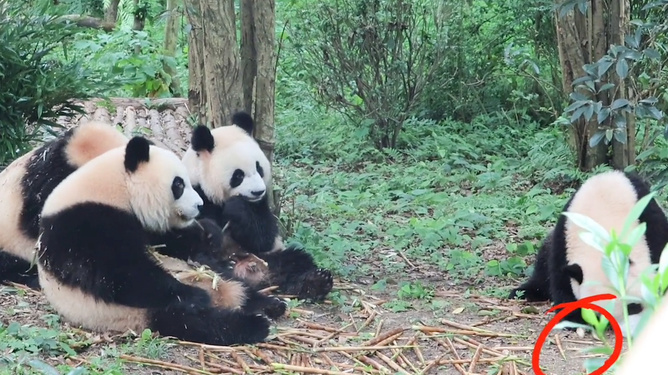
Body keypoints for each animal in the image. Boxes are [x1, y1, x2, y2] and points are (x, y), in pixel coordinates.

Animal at [36, 137, 282, 346]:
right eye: (179, 185)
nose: (200, 205)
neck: (115, 186)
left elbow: (172, 242)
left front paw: (209, 233)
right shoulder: (84, 223)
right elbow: (121, 273)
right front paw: (193, 295)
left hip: (213, 277)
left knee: (235, 284)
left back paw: (270, 304)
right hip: (133, 313)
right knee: (195, 322)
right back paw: (252, 324)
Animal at [508, 170, 668, 334]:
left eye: (633, 306)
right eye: (601, 315)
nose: (628, 332)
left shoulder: (652, 228)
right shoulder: (563, 240)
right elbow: (561, 279)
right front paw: (573, 318)